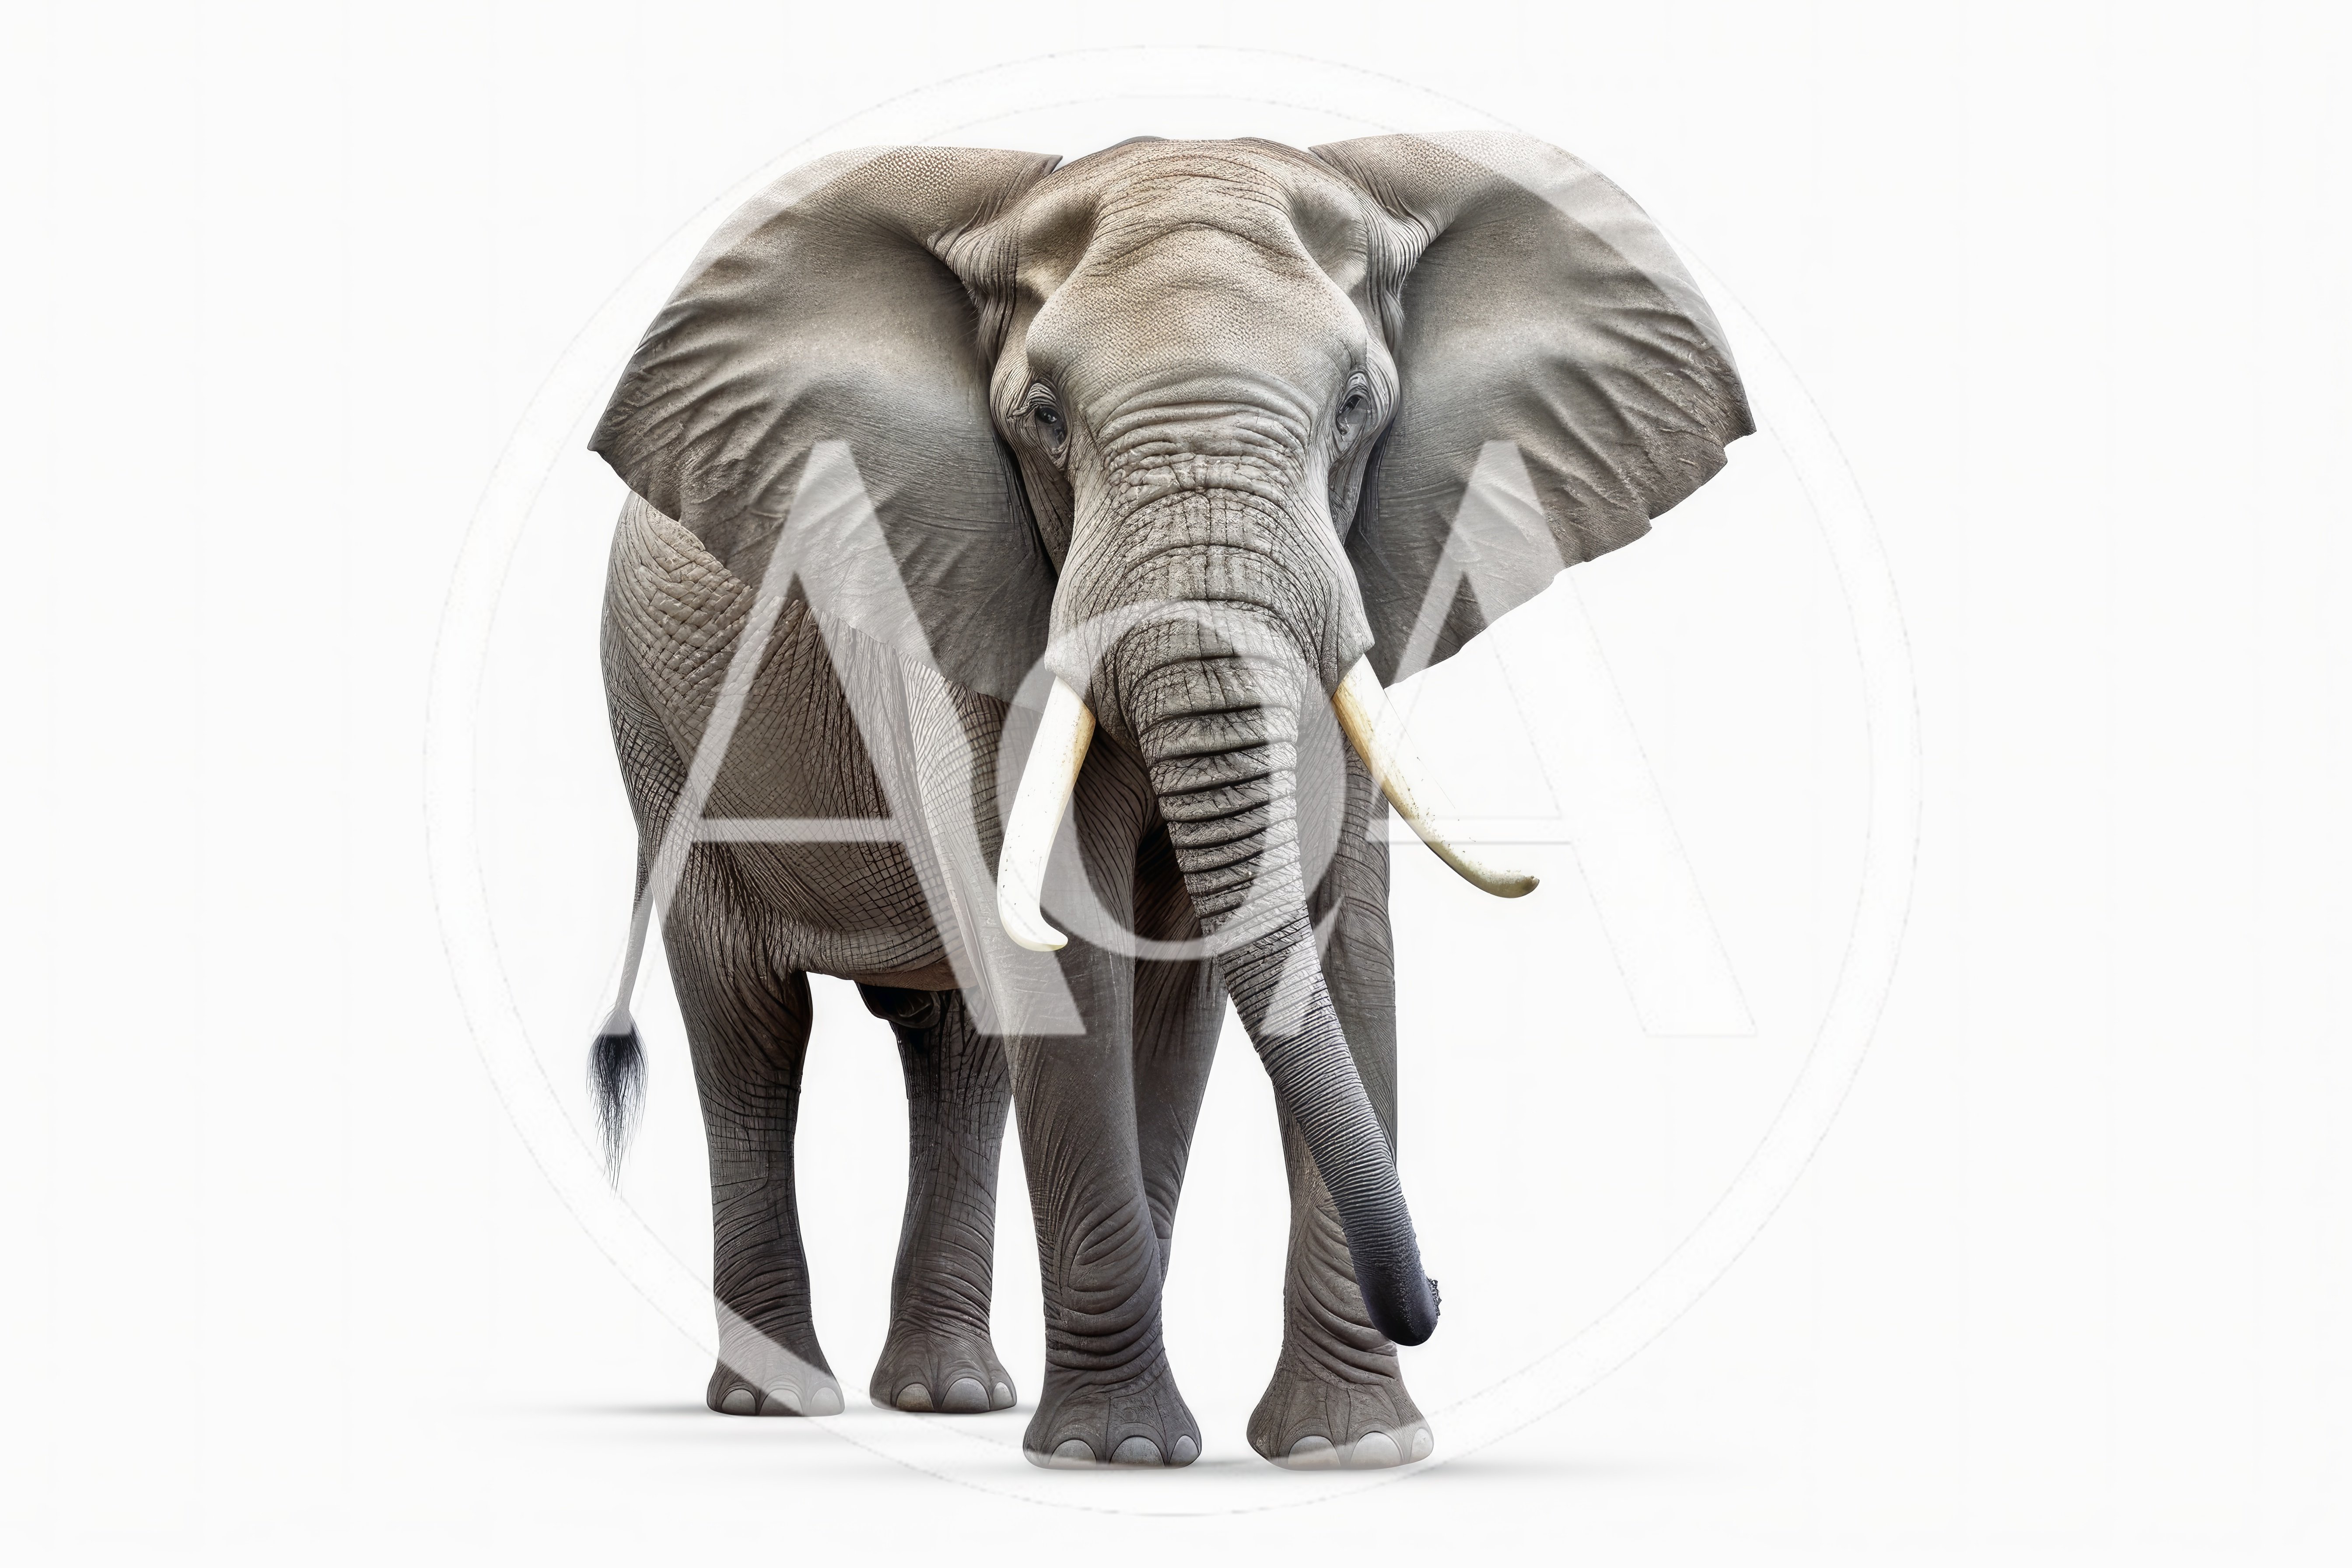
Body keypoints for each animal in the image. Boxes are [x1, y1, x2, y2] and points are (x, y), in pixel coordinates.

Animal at [582, 131, 1750, 1470]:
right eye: (1042, 419)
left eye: (1358, 406)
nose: (1438, 1298)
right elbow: (1070, 958)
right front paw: (1122, 1454)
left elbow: (1295, 958)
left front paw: (1351, 1450)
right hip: (656, 721)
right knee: (750, 1030)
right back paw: (785, 1406)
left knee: (963, 1049)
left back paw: (951, 1397)